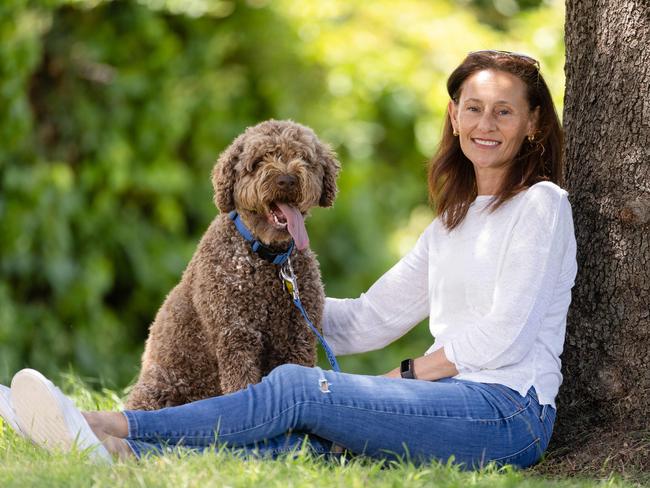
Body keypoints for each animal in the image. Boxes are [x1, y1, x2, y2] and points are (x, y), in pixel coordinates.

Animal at [125, 120, 340, 410]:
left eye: (303, 157)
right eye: (259, 161)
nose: (287, 179)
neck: (268, 259)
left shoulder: (298, 337)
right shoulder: (236, 337)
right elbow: (243, 387)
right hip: (158, 389)